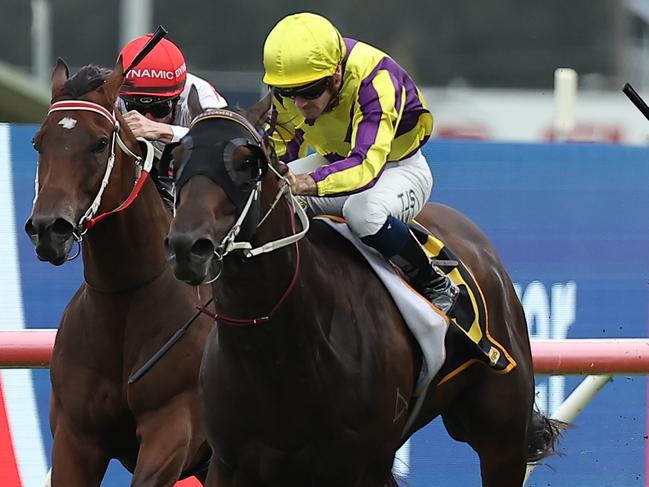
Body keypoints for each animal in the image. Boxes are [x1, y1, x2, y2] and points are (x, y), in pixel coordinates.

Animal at [24, 59, 213, 486]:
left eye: (99, 143)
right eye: (38, 142)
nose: (48, 228)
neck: (125, 297)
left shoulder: (174, 427)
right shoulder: (75, 437)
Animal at [163, 92, 560, 487]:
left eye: (247, 163)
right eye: (176, 161)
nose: (187, 247)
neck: (280, 352)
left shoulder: (362, 464)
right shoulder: (231, 463)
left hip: (501, 434)